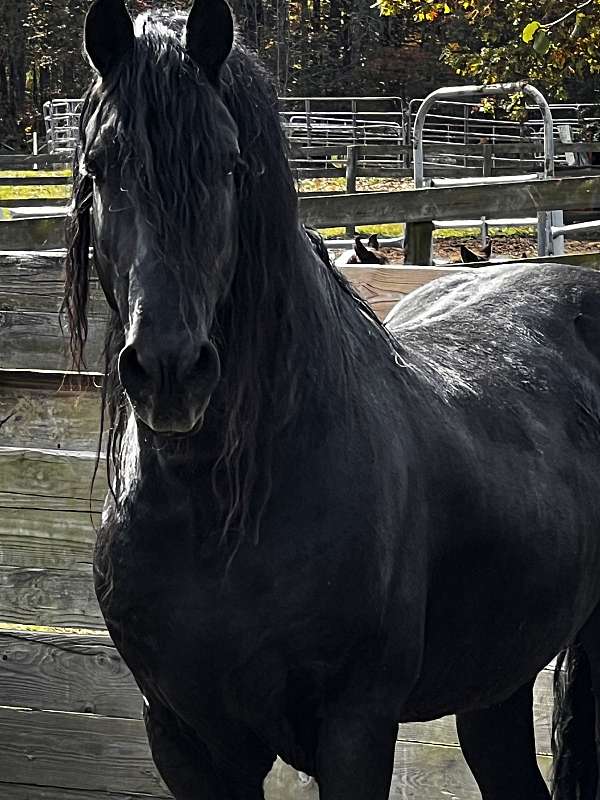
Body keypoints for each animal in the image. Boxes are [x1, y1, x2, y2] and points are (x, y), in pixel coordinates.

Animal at [64, 1, 600, 798]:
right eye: (99, 167)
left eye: (228, 163)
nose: (169, 371)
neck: (220, 512)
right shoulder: (184, 738)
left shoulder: (356, 728)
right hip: (497, 681)